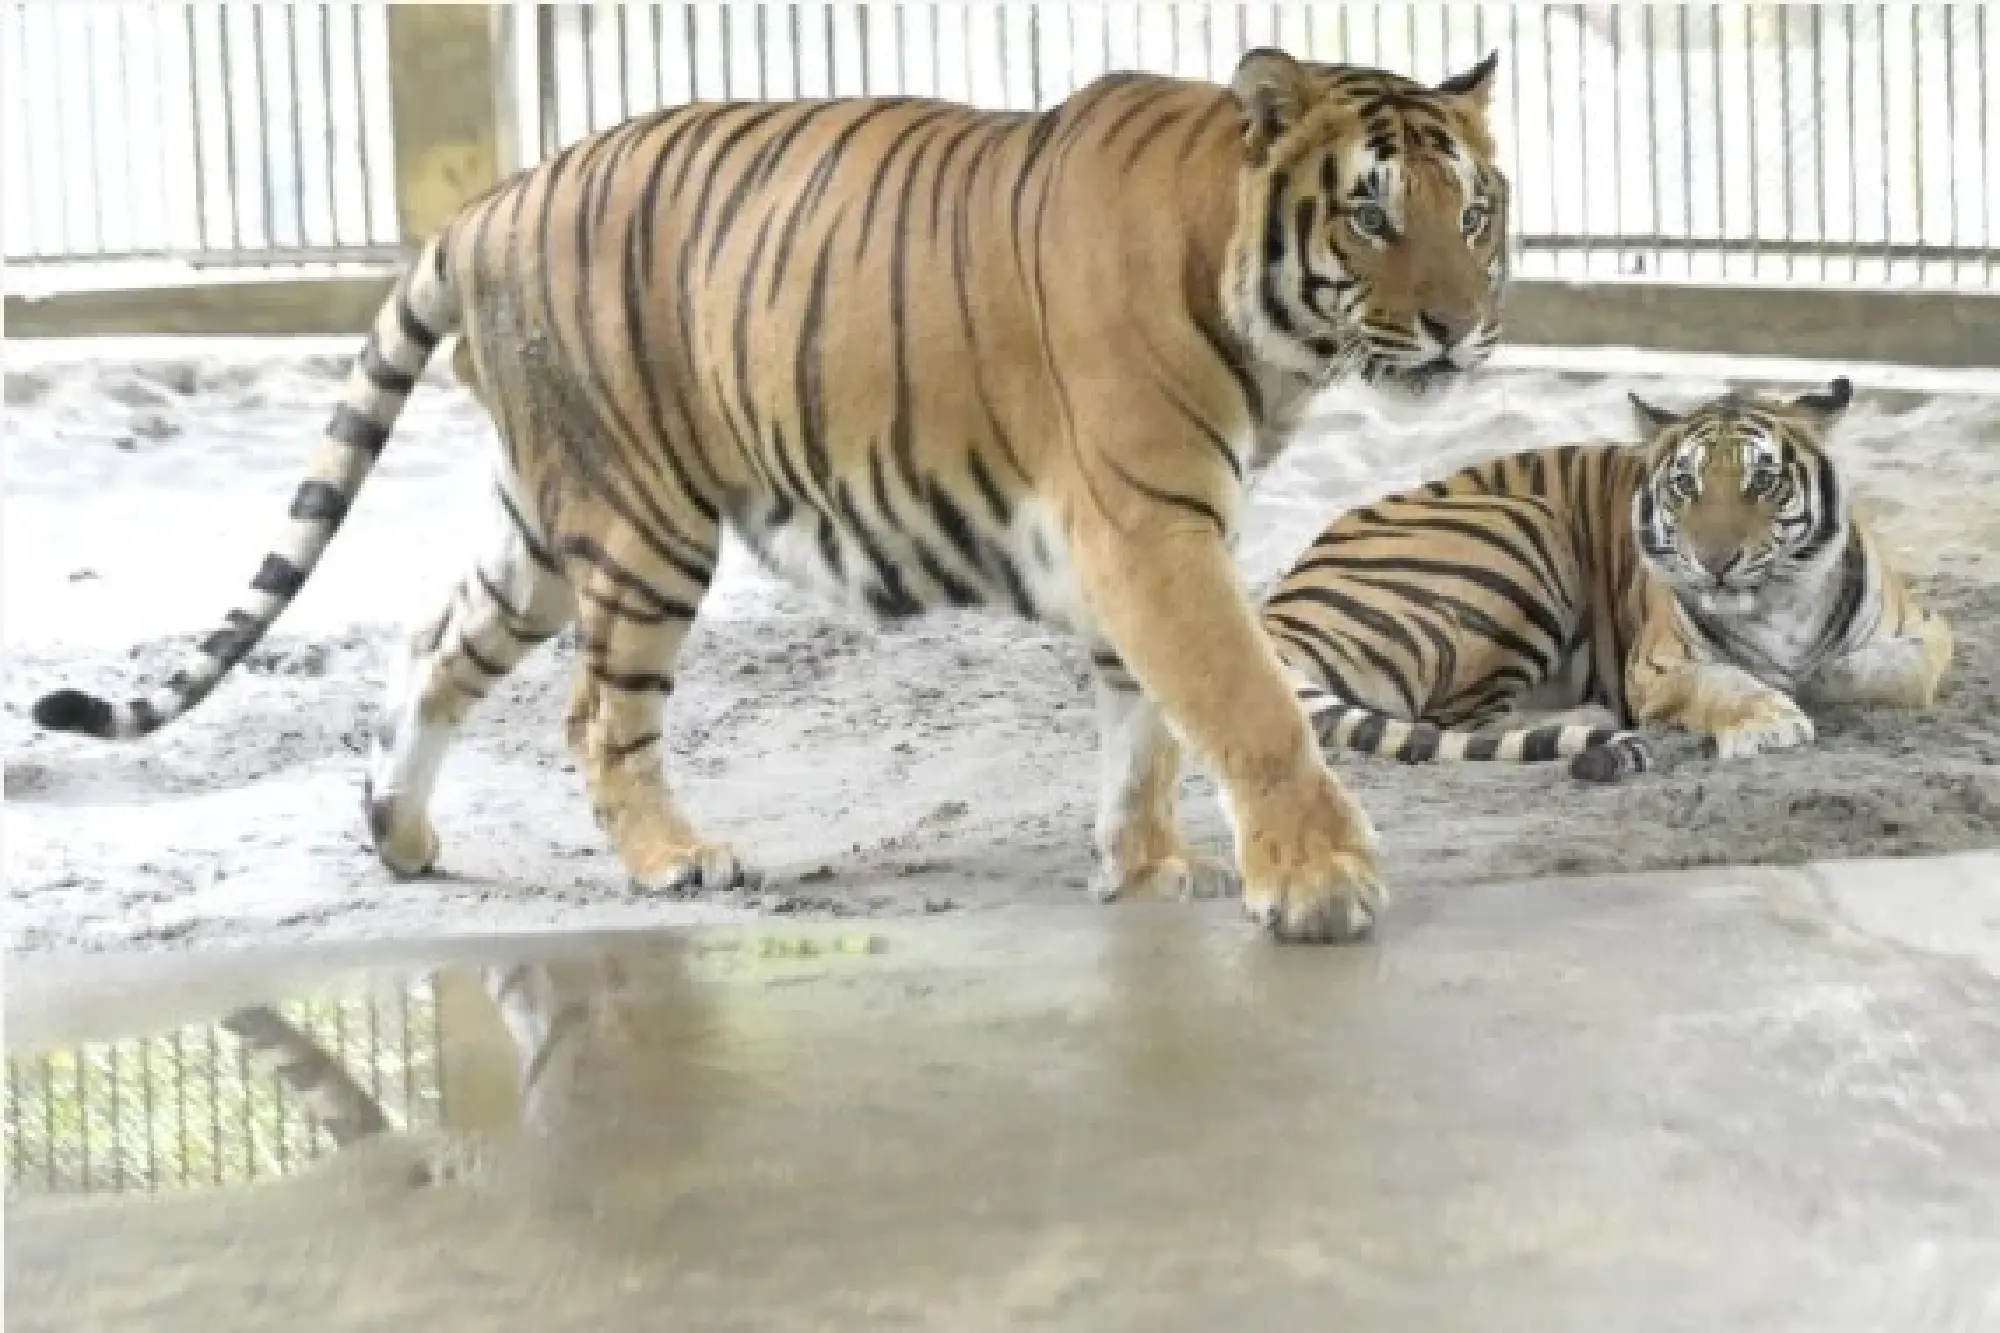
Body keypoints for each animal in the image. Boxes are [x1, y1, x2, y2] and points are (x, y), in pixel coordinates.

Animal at [30, 46, 1512, 945]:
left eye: (1474, 212)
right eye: (1371, 214)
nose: (1458, 328)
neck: (1270, 328)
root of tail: (485, 205)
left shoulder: (1135, 546)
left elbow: (1143, 728)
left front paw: (1143, 869)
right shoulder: (1150, 527)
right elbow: (1245, 703)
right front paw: (1318, 883)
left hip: (545, 524)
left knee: (437, 642)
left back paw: (397, 831)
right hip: (643, 522)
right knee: (595, 716)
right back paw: (673, 860)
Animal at [1261, 376, 1953, 781]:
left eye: (1763, 480)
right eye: (1685, 485)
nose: (1714, 562)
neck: (1778, 601)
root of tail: (1275, 615)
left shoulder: (1929, 630)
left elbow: (1893, 671)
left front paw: (1816, 681)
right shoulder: (1656, 666)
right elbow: (1723, 681)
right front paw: (1769, 718)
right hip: (1523, 530)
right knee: (1455, 720)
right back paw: (1591, 715)